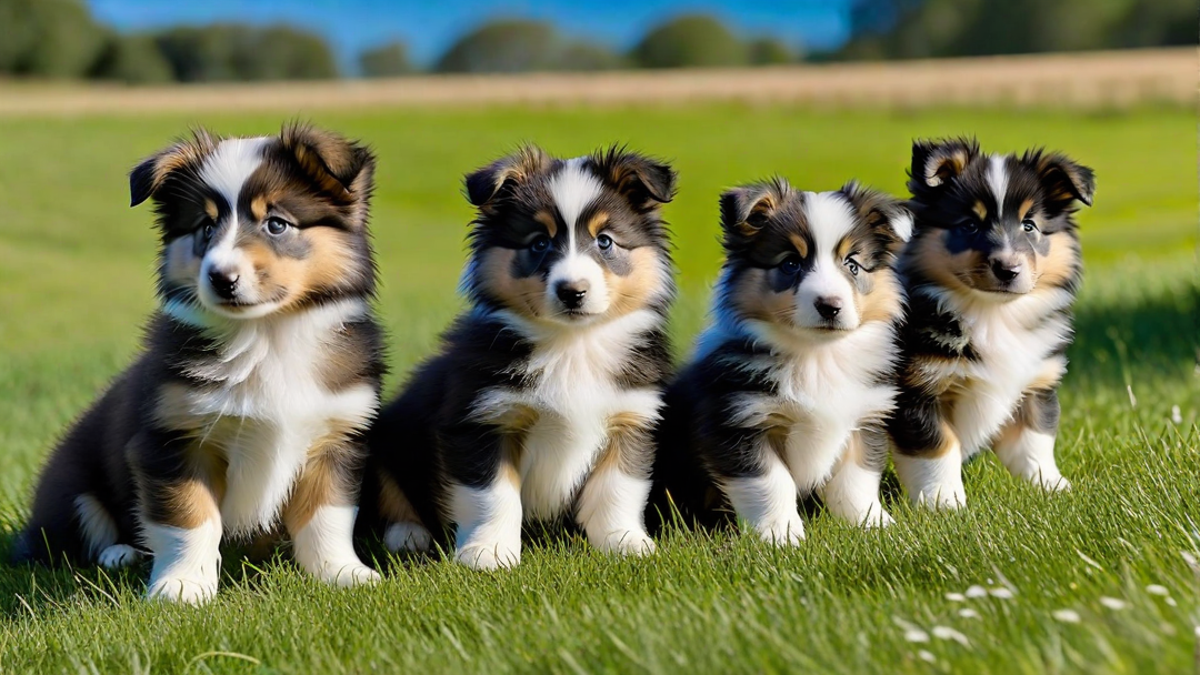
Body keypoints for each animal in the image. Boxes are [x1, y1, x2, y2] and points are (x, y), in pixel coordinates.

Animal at [16, 123, 386, 600]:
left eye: (277, 224)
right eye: (205, 227)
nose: (221, 277)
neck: (266, 336)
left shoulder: (336, 436)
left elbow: (328, 516)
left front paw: (341, 573)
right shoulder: (172, 439)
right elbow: (188, 518)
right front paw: (182, 586)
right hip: (68, 485)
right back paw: (119, 553)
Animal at [360, 142, 681, 566]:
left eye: (606, 241)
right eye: (539, 243)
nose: (572, 292)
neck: (571, 345)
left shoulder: (631, 415)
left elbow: (617, 489)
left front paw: (624, 543)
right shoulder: (483, 419)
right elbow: (494, 496)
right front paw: (489, 554)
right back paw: (408, 535)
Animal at [657, 177, 907, 540]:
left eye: (852, 264)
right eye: (790, 263)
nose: (830, 306)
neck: (816, 356)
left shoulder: (864, 416)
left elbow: (856, 480)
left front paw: (873, 526)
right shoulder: (738, 421)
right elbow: (772, 482)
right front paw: (781, 536)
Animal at [892, 136, 1099, 504]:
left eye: (1029, 226)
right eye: (970, 225)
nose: (1008, 269)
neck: (993, 313)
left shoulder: (1035, 382)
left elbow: (1035, 440)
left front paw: (1052, 487)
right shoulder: (917, 390)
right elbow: (937, 447)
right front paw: (944, 503)